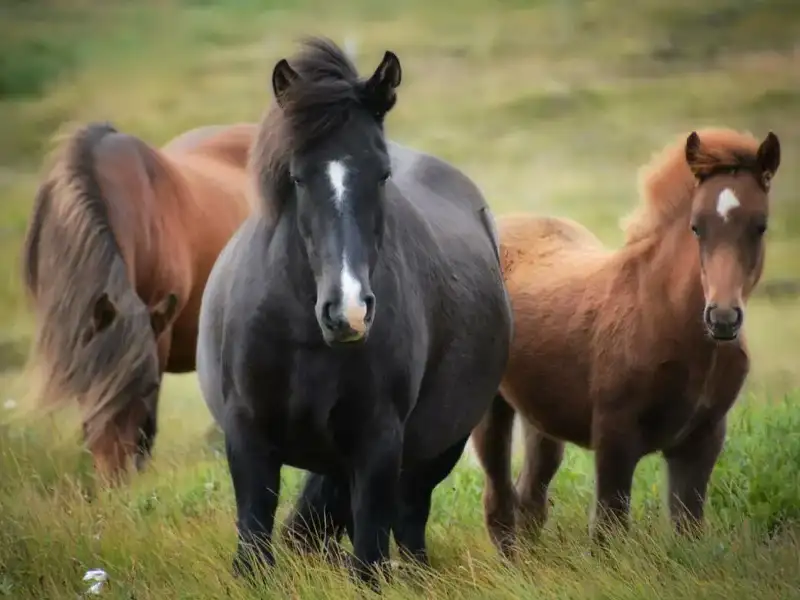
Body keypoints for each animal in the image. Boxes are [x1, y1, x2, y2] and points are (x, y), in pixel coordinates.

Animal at [199, 37, 512, 584]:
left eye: (382, 174)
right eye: (297, 177)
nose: (348, 312)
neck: (303, 334)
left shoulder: (379, 442)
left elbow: (369, 554)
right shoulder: (247, 433)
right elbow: (254, 543)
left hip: (438, 449)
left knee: (410, 522)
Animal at [476, 129, 780, 556]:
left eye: (761, 226)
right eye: (696, 227)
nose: (722, 319)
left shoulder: (702, 439)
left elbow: (688, 527)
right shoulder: (614, 435)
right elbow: (608, 529)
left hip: (542, 416)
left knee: (530, 496)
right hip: (490, 408)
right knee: (499, 499)